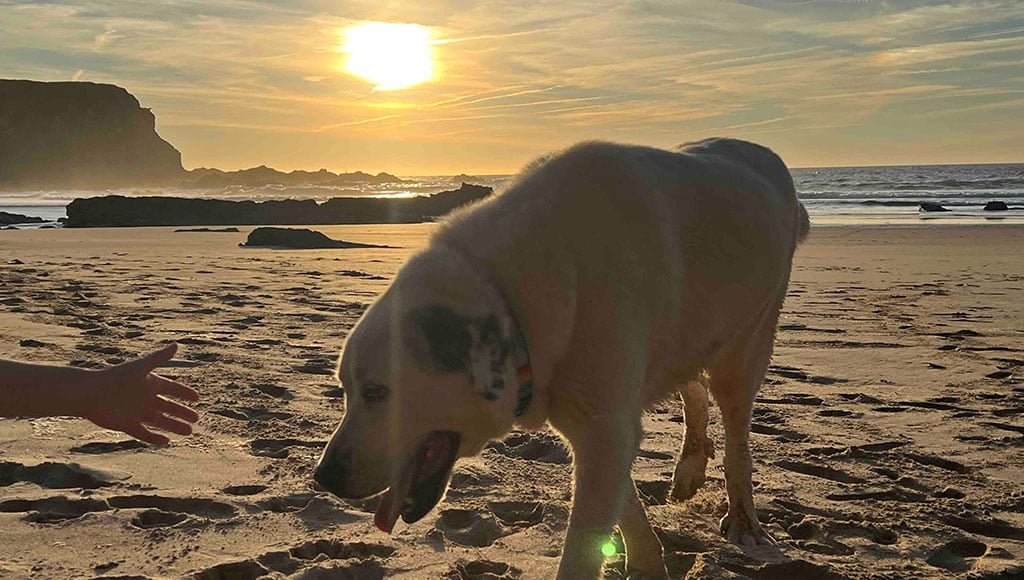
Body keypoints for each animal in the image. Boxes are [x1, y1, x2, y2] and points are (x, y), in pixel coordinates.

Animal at [311, 138, 806, 577]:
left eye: (376, 392)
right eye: (346, 390)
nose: (324, 478)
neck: (511, 298)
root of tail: (769, 158)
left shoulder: (604, 426)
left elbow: (586, 544)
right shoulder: (593, 420)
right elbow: (625, 507)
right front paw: (647, 562)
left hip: (747, 344)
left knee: (735, 430)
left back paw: (743, 521)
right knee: (692, 385)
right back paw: (689, 468)